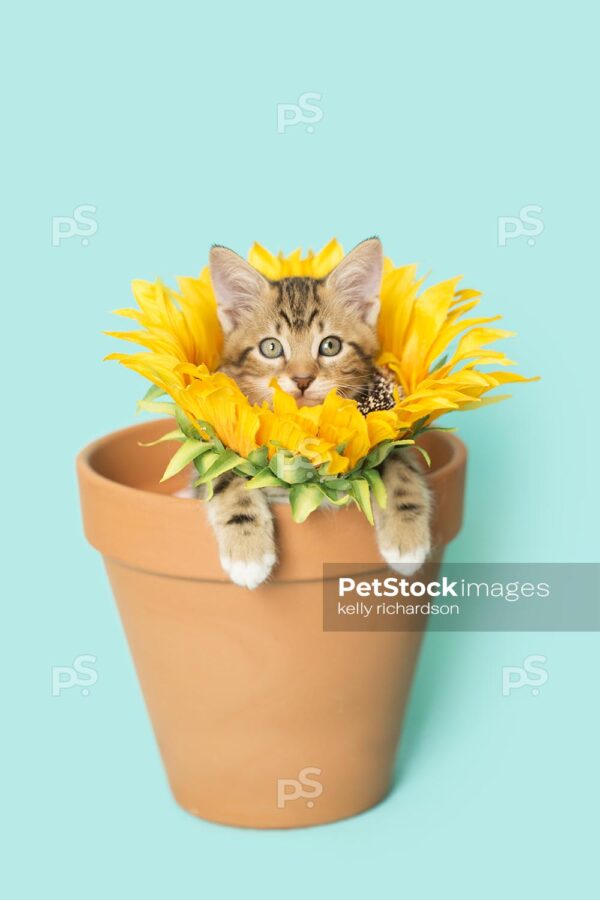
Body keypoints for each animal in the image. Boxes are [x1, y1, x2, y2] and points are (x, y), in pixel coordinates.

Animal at [206, 239, 432, 588]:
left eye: (330, 346)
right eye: (271, 347)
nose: (301, 379)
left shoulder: (381, 437)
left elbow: (400, 463)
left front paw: (407, 541)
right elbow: (228, 475)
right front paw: (248, 554)